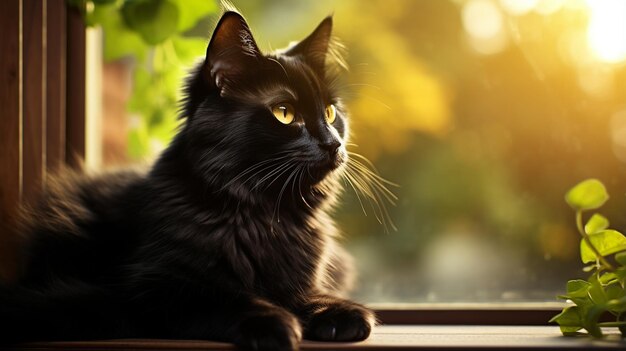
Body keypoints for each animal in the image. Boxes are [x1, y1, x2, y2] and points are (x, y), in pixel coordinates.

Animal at [0, 10, 376, 350]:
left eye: (330, 112)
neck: (265, 214)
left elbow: (302, 294)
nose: (333, 143)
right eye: (284, 113)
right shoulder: (156, 284)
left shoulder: (299, 278)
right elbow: (224, 298)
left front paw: (337, 313)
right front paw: (274, 322)